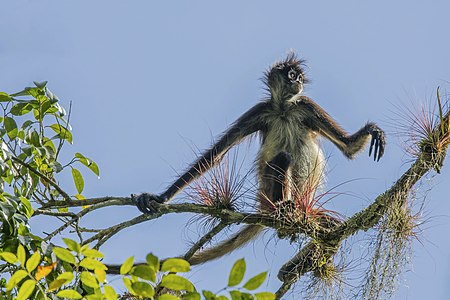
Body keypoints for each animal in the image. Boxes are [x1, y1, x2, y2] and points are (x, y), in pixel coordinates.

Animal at [133, 54, 384, 264]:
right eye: (292, 75)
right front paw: (159, 197)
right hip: (267, 189)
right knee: (283, 157)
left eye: (300, 77)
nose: (299, 81)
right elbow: (214, 156)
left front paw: (372, 131)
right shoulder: (261, 111)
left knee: (331, 228)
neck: (284, 109)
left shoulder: (305, 105)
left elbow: (349, 147)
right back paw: (284, 210)